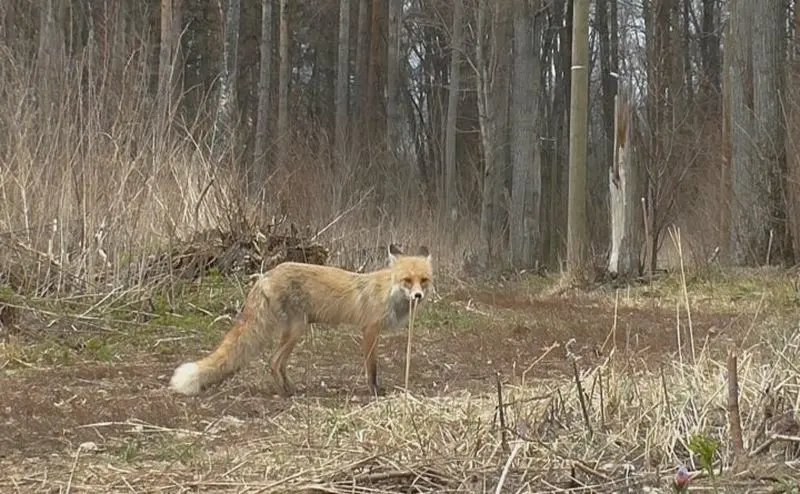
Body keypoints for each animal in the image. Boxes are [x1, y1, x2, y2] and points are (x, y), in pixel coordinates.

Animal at [167, 243, 432, 398]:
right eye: (407, 280)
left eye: (424, 280)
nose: (418, 296)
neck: (389, 292)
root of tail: (265, 276)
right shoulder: (370, 329)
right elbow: (372, 368)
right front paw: (374, 391)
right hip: (297, 330)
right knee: (273, 362)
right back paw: (285, 394)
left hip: (293, 331)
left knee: (279, 363)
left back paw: (291, 389)